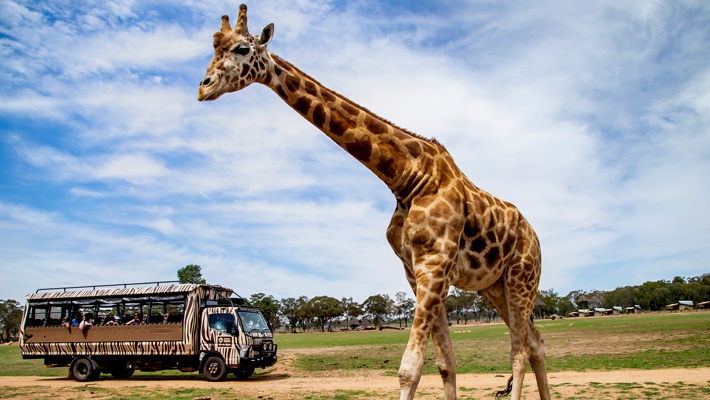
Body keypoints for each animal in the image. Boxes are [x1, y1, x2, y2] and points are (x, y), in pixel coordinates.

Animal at [197, 3, 552, 400]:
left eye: (242, 48)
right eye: (212, 46)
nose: (203, 88)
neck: (407, 179)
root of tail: (536, 237)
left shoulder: (435, 265)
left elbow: (409, 369)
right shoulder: (416, 270)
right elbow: (445, 364)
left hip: (522, 276)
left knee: (519, 351)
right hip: (495, 287)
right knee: (535, 343)